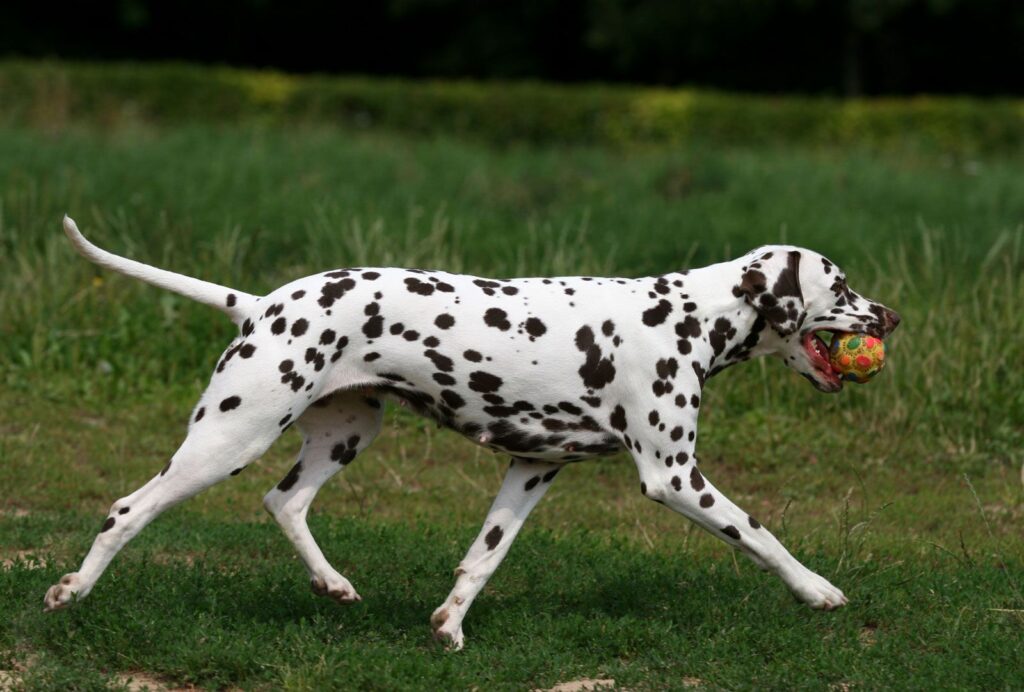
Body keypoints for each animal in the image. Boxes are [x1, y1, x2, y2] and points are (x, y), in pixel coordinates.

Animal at [48, 214, 897, 646]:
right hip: (229, 438)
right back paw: (71, 592)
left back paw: (332, 583)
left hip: (346, 434)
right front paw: (818, 590)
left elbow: (481, 560)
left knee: (283, 503)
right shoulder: (675, 477)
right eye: (841, 284)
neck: (684, 316)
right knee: (128, 510)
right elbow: (759, 533)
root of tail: (258, 302)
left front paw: (449, 625)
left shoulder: (531, 469)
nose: (890, 317)